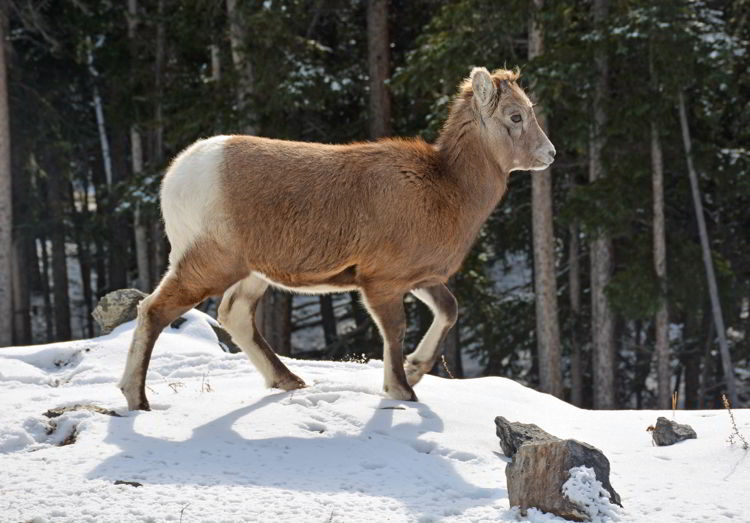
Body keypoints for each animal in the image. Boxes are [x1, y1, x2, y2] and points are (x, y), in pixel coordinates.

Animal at [120, 66, 560, 410]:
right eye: (515, 117)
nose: (550, 154)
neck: (447, 189)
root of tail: (177, 175)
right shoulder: (381, 283)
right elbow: (395, 331)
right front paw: (402, 390)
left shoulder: (421, 280)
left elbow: (449, 311)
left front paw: (416, 371)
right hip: (208, 265)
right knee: (154, 311)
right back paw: (136, 400)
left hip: (252, 273)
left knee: (235, 315)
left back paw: (289, 381)